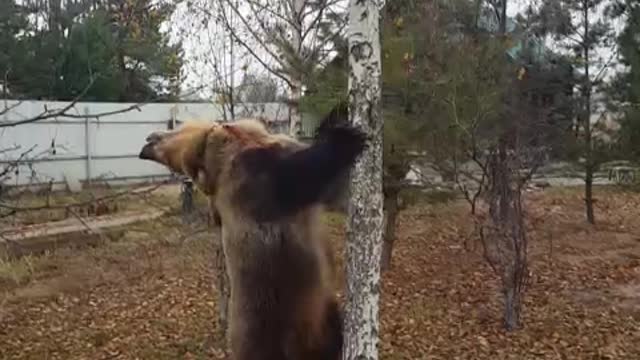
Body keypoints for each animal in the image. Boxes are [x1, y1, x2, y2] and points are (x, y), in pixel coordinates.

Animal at [136, 118, 364, 360]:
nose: (149, 140)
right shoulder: (252, 181)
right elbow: (297, 177)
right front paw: (344, 139)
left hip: (317, 315)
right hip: (269, 327)